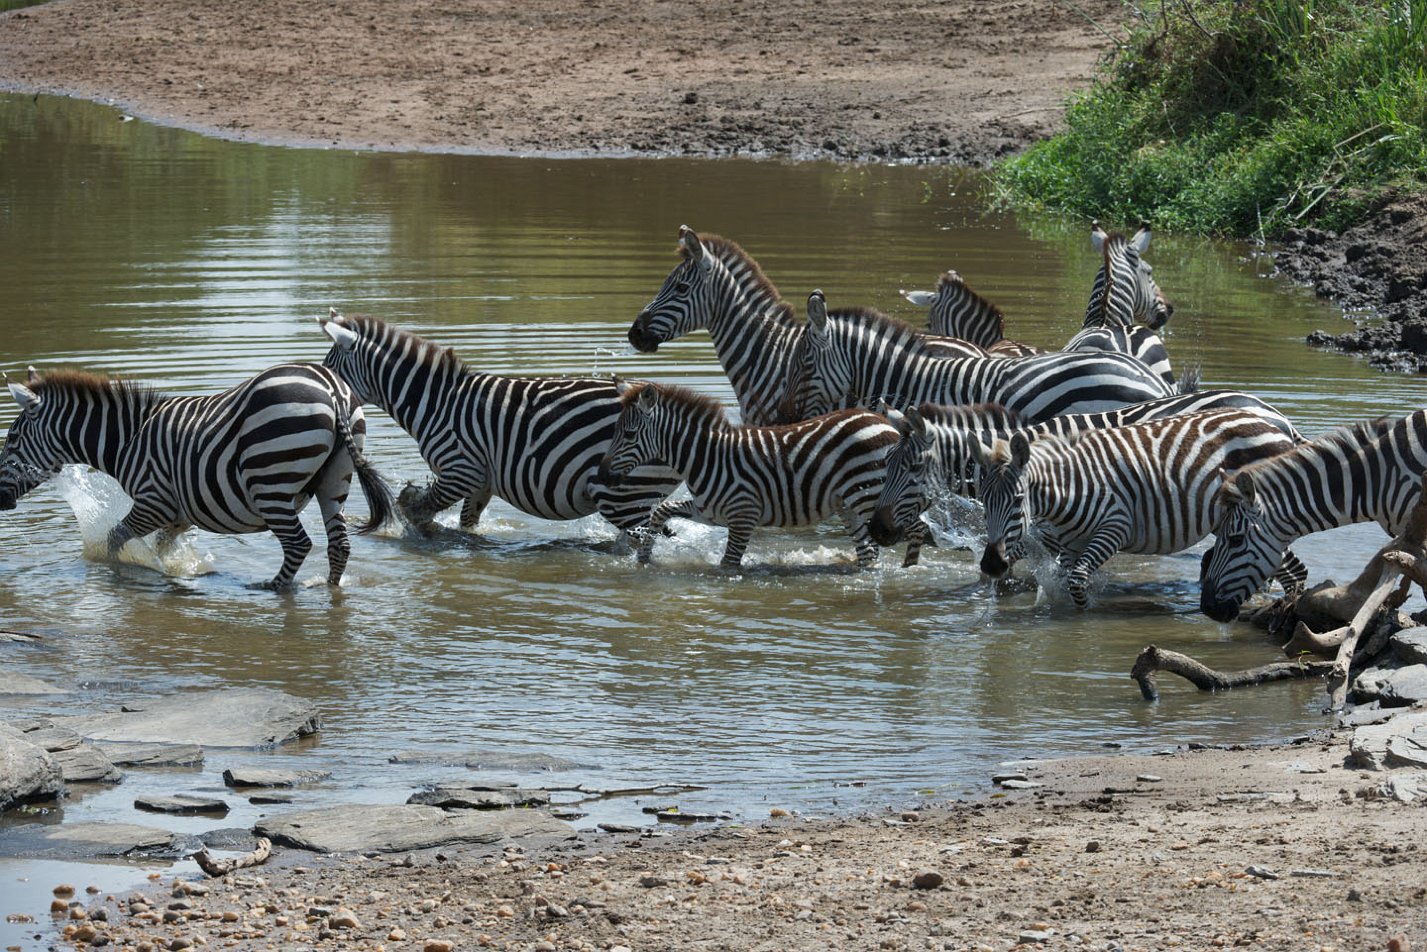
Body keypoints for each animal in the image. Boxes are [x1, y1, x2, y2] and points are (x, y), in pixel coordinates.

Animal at [0, 364, 393, 589]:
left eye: (12, 439)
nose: (0, 499)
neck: (128, 439)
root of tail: (332, 389)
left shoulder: (152, 502)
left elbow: (114, 539)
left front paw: (122, 572)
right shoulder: (180, 513)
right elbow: (162, 548)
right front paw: (171, 570)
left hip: (270, 483)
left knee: (298, 544)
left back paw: (271, 587)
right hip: (335, 482)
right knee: (339, 546)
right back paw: (330, 588)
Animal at [317, 309, 681, 537]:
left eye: (329, 369)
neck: (435, 402)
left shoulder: (460, 470)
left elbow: (419, 511)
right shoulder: (481, 480)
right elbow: (467, 522)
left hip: (623, 496)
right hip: (638, 496)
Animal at [596, 380, 899, 570]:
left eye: (629, 434)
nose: (602, 475)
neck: (705, 458)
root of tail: (881, 421)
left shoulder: (744, 515)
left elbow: (728, 566)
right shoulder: (710, 511)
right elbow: (661, 510)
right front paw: (644, 557)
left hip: (869, 496)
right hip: (849, 505)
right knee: (867, 552)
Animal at [972, 410, 1302, 609]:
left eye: (1017, 500)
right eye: (984, 500)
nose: (991, 563)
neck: (1071, 486)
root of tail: (1278, 426)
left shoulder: (1115, 527)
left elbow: (1077, 581)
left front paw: (1082, 619)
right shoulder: (1069, 544)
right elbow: (1061, 582)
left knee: (1293, 571)